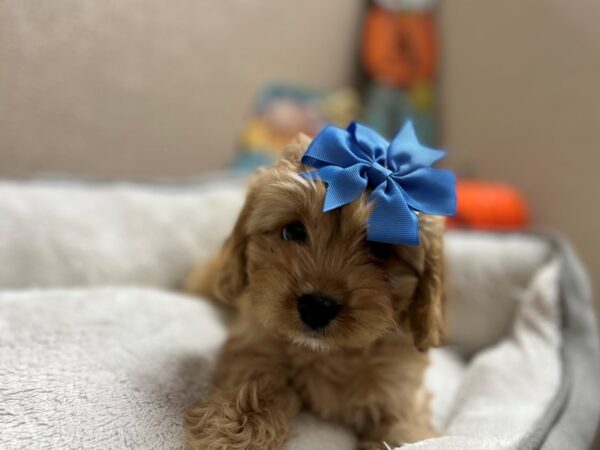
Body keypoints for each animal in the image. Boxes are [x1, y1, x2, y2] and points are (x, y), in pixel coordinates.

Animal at [185, 134, 442, 450]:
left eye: (380, 249)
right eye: (293, 231)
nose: (317, 306)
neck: (329, 354)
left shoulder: (398, 388)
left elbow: (406, 431)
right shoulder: (256, 343)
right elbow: (254, 378)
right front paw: (231, 429)